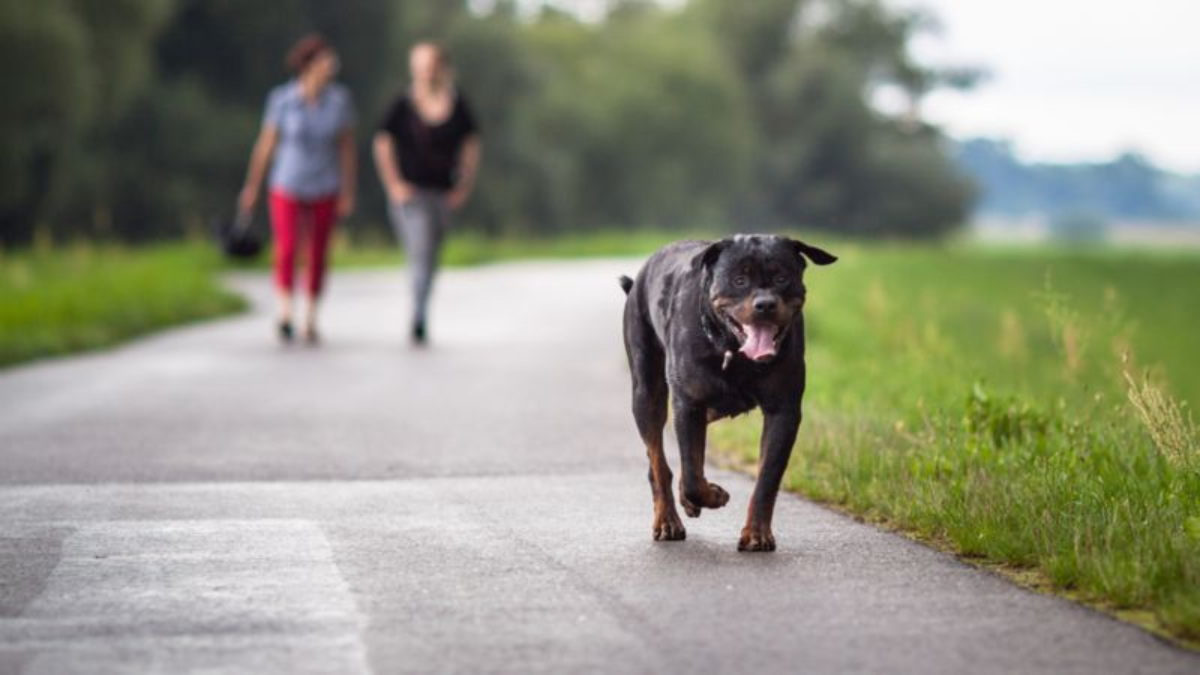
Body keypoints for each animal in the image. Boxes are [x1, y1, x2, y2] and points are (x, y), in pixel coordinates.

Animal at [619, 234, 835, 550]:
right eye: (739, 280)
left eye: (782, 277)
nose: (765, 304)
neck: (734, 350)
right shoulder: (688, 403)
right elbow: (693, 474)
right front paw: (712, 495)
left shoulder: (784, 410)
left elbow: (767, 476)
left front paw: (756, 532)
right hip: (646, 393)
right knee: (658, 462)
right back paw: (667, 521)